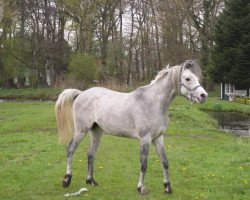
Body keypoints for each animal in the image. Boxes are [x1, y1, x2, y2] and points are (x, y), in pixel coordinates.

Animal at [55, 59, 209, 194]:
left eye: (196, 78)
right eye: (187, 78)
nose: (203, 96)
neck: (153, 103)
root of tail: (81, 93)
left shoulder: (158, 138)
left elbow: (165, 162)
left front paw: (167, 188)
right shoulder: (145, 139)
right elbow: (144, 164)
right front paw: (141, 188)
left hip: (96, 132)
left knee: (91, 154)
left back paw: (91, 181)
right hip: (81, 130)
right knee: (70, 149)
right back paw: (67, 180)